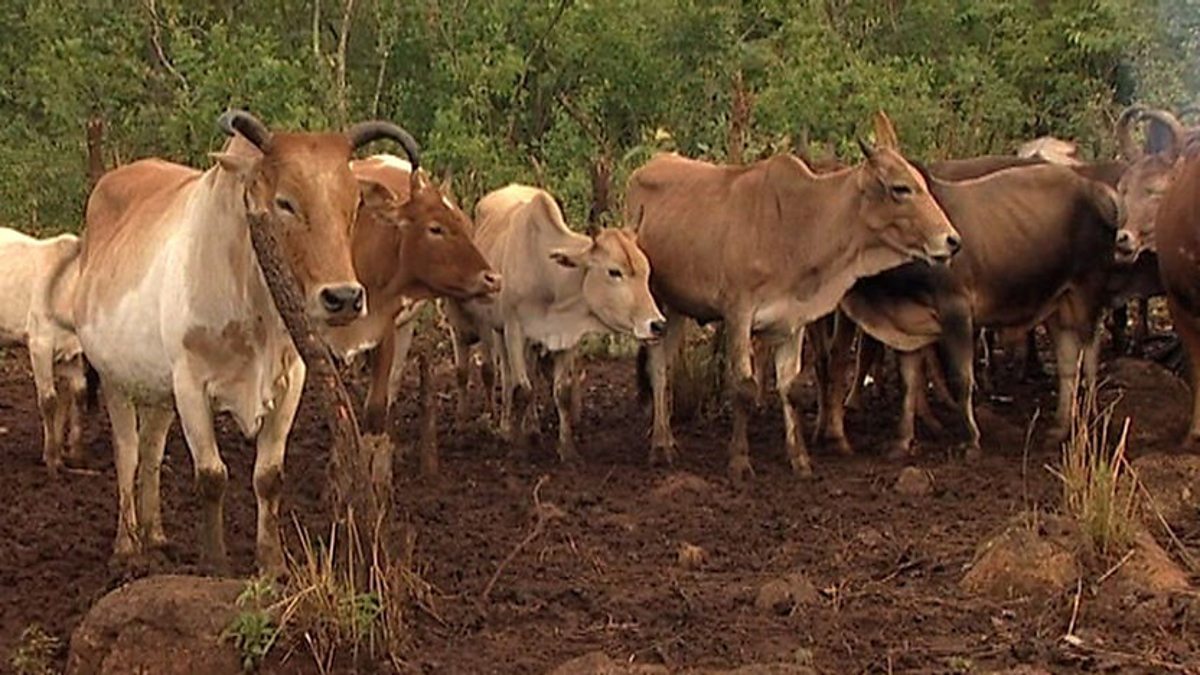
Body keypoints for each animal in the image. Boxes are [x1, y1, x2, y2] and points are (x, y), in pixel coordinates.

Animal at [0, 229, 88, 474]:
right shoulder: (40, 344)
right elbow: (49, 399)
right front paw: (51, 458)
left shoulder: (72, 352)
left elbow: (79, 392)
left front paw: (75, 455)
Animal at [47, 110, 417, 575]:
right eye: (285, 202)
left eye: (353, 206)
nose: (344, 298)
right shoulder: (191, 385)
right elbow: (211, 476)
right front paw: (216, 563)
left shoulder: (289, 382)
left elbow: (269, 477)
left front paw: (271, 562)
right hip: (116, 379)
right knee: (128, 455)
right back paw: (128, 545)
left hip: (158, 389)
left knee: (151, 453)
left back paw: (155, 535)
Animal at [445, 184, 665, 461]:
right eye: (614, 272)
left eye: (646, 271)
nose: (657, 325)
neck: (547, 275)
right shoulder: (515, 331)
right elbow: (522, 390)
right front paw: (517, 449)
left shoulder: (566, 337)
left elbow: (563, 391)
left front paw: (566, 449)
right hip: (496, 330)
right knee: (506, 375)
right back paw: (506, 428)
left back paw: (532, 430)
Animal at [627, 112, 960, 482]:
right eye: (900, 188)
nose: (951, 241)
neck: (795, 224)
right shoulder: (738, 313)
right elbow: (743, 387)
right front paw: (740, 461)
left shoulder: (792, 321)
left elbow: (791, 388)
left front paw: (799, 459)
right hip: (656, 302)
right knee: (658, 368)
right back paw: (660, 446)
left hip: (674, 308)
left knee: (664, 366)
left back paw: (668, 439)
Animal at [814, 162, 1120, 458]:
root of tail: (1097, 189)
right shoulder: (908, 324)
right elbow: (908, 384)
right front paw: (901, 442)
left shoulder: (957, 310)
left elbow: (961, 379)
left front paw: (971, 440)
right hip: (1059, 304)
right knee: (1067, 362)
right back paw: (1059, 428)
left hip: (1087, 291)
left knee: (1090, 354)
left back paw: (1090, 418)